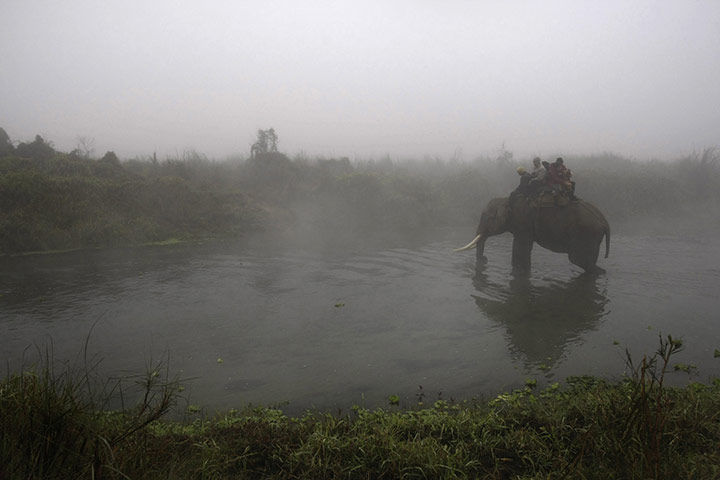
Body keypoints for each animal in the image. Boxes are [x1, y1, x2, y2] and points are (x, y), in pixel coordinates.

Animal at [455, 196, 610, 275]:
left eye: (486, 217)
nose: (485, 259)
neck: (506, 199)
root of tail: (605, 222)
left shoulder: (523, 222)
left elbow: (521, 248)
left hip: (586, 234)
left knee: (577, 259)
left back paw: (601, 271)